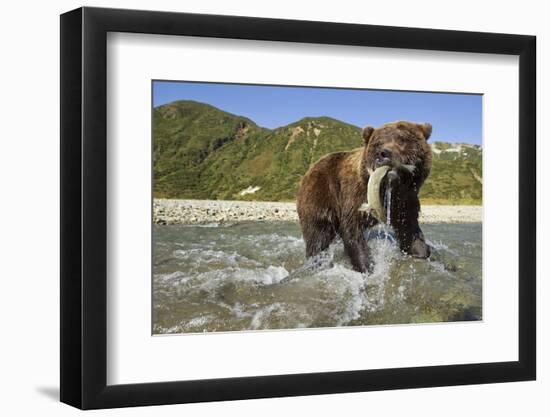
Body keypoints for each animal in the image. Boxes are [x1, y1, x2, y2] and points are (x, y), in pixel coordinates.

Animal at [300, 120, 434, 272]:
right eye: (378, 143)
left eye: (402, 140)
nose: (384, 154)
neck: (389, 188)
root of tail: (310, 169)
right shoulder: (354, 194)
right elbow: (352, 228)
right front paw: (366, 266)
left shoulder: (406, 199)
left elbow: (409, 227)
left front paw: (421, 251)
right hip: (320, 194)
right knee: (318, 235)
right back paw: (316, 260)